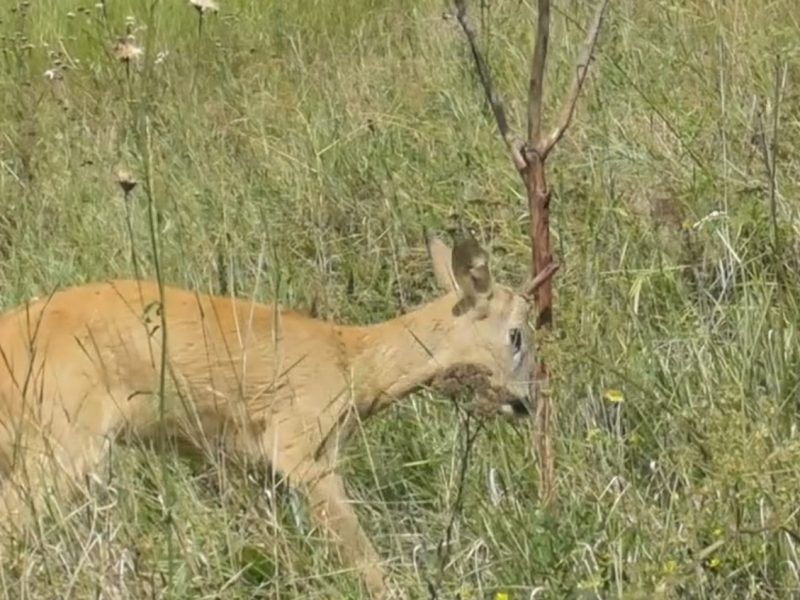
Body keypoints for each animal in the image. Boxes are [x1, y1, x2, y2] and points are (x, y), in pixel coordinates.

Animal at [0, 236, 536, 600]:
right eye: (516, 334)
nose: (524, 403)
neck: (352, 362)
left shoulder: (247, 468)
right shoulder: (301, 446)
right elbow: (357, 549)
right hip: (64, 440)